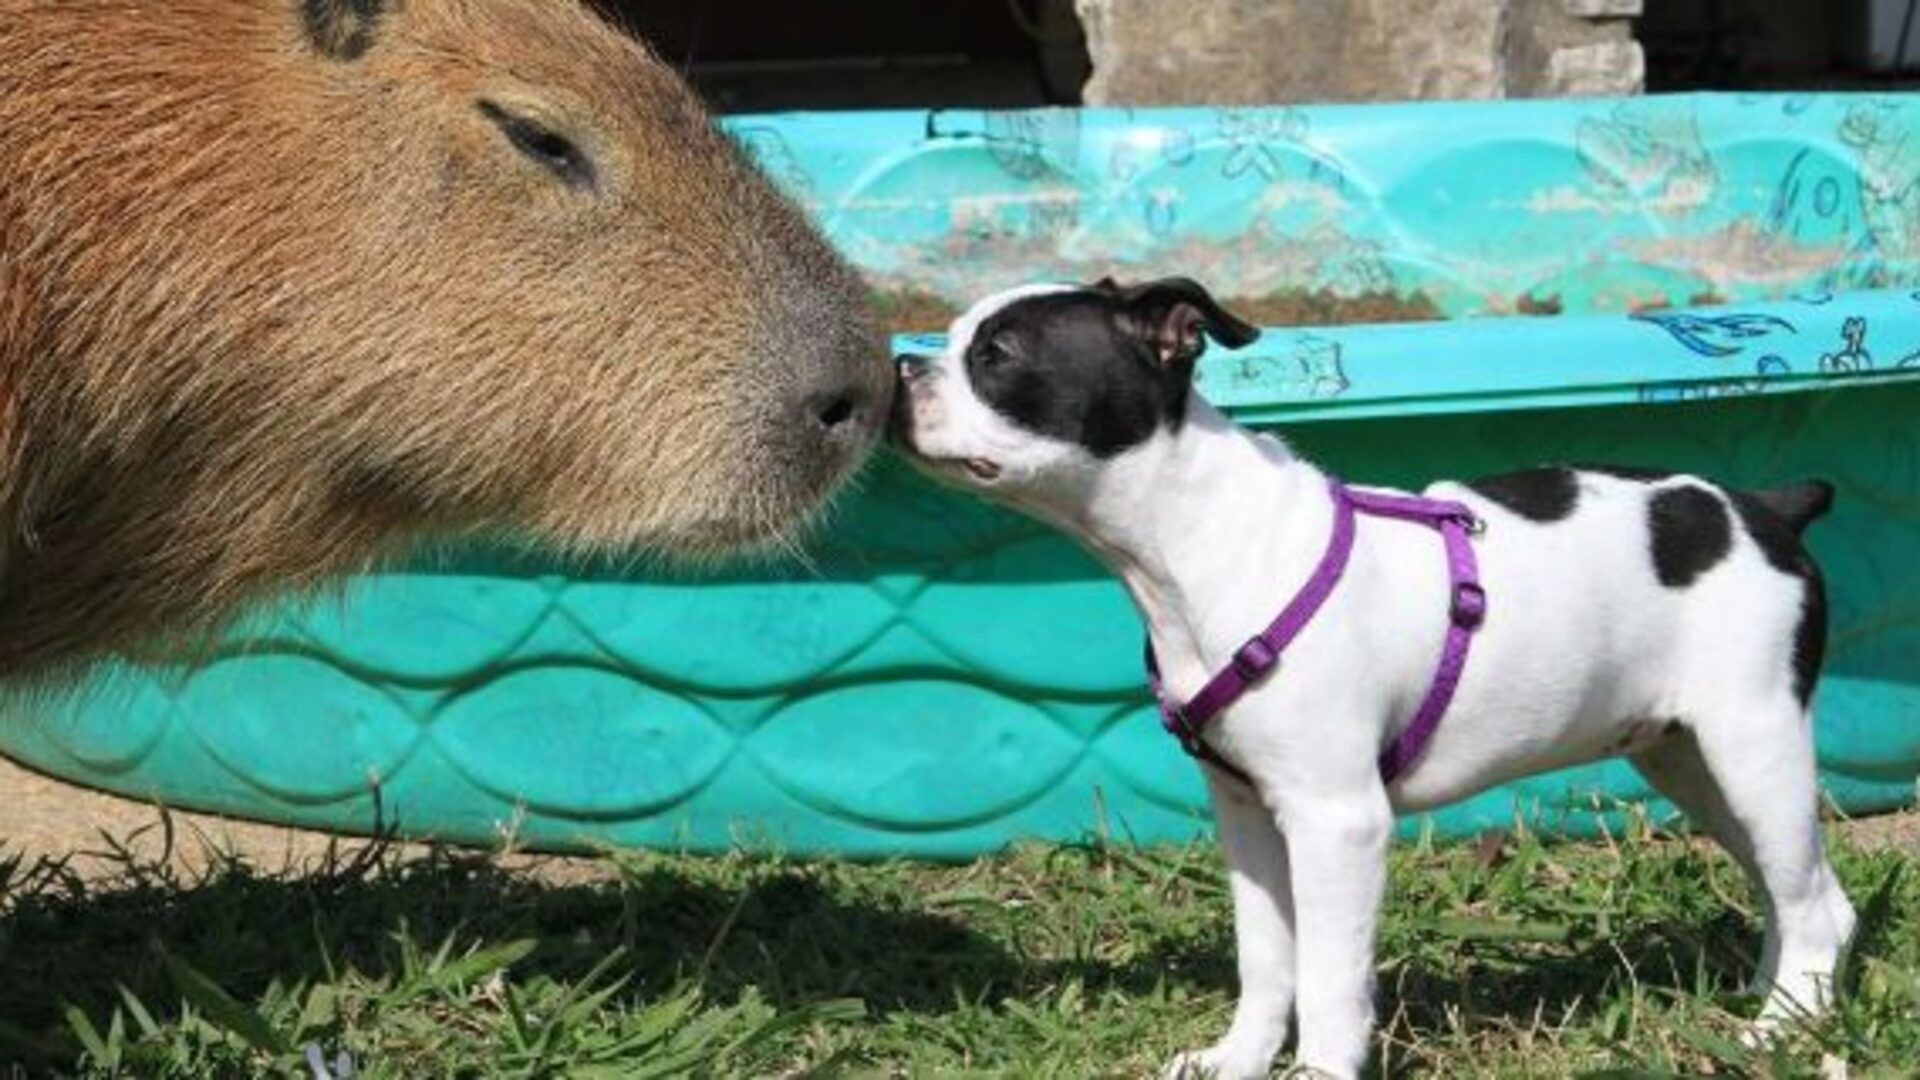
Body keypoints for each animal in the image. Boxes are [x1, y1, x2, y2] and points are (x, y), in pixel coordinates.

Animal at [894, 278, 1858, 1076]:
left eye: (997, 355)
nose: (900, 369)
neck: (1200, 539)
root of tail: (1764, 510)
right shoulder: (1247, 814)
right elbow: (1265, 959)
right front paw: (1236, 1061)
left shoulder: (1339, 823)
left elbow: (1328, 980)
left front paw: (1318, 1072)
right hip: (1685, 758)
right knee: (1810, 893)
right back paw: (1774, 998)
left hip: (1753, 746)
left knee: (1810, 900)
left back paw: (1778, 1030)